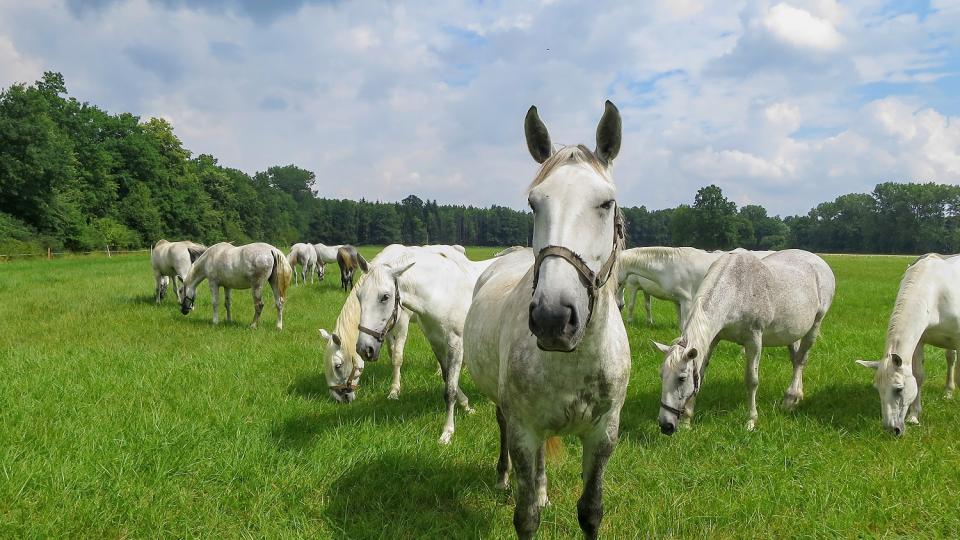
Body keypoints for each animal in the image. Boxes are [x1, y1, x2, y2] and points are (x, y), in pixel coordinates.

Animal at [352, 245, 496, 442]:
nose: (364, 349)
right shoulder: (437, 343)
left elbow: (450, 389)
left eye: (385, 297)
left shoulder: (456, 344)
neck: (443, 293)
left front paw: (447, 432)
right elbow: (447, 378)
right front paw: (467, 406)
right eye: (359, 296)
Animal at [464, 102, 632, 540]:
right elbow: (526, 518)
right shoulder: (524, 429)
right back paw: (505, 478)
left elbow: (590, 511)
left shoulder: (603, 435)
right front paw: (527, 497)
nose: (554, 318)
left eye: (606, 203)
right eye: (534, 204)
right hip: (509, 416)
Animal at [652, 250, 832, 434]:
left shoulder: (754, 340)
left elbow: (752, 381)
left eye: (681, 378)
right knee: (796, 360)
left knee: (801, 360)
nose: (666, 425)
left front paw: (751, 421)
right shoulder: (713, 339)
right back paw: (793, 398)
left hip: (815, 325)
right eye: (661, 375)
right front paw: (687, 421)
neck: (735, 289)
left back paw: (791, 398)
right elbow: (700, 375)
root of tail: (818, 260)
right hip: (791, 333)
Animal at [856, 252, 960, 434]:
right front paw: (913, 416)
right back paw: (948, 392)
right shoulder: (918, 342)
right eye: (878, 389)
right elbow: (918, 376)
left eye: (898, 389)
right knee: (950, 358)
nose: (891, 429)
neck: (936, 292)